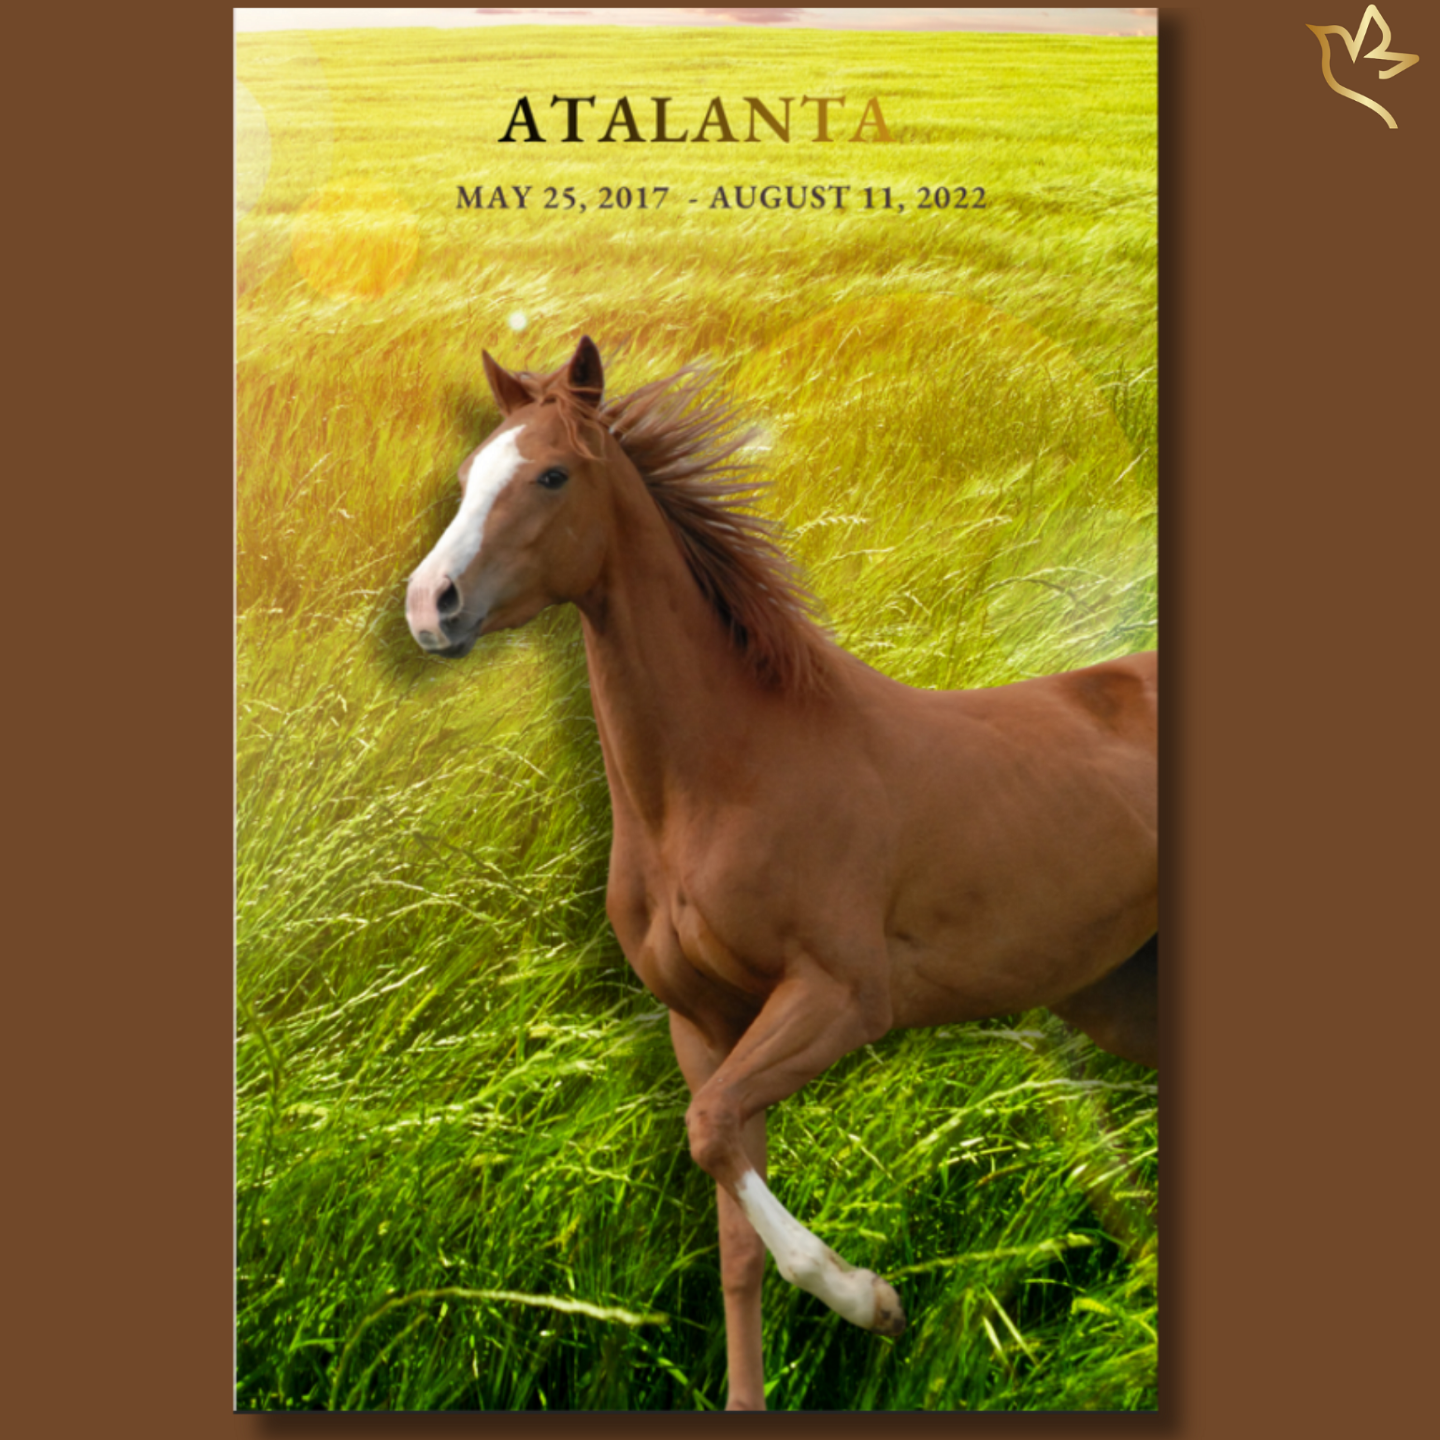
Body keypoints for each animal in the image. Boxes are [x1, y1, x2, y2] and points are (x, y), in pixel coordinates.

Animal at [405, 336, 1158, 1411]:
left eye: (551, 475)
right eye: (468, 475)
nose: (431, 606)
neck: (728, 777)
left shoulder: (839, 997)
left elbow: (711, 1131)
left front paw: (872, 1301)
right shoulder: (705, 1023)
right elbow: (730, 1228)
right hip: (1123, 995)